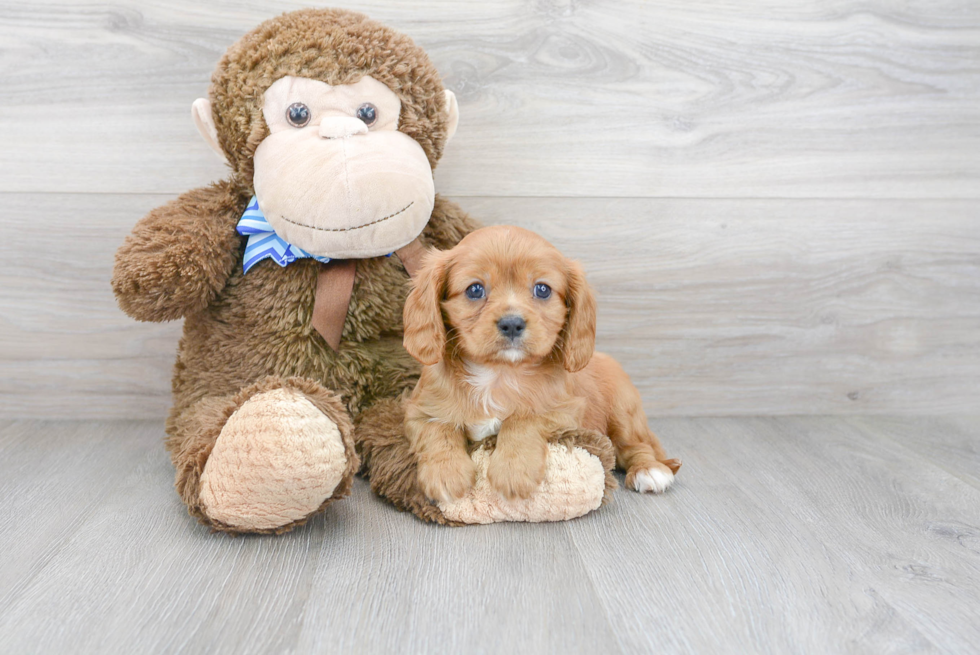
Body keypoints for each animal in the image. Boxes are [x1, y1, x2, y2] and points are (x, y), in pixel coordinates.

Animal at [402, 226, 676, 502]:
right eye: (475, 290)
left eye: (542, 290)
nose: (512, 323)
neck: (499, 373)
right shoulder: (419, 410)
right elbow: (439, 429)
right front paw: (446, 472)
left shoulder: (564, 410)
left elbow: (522, 420)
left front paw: (513, 471)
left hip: (623, 411)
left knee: (636, 446)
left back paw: (649, 470)